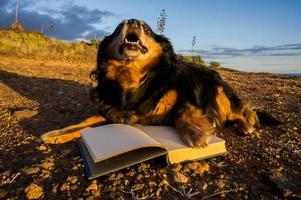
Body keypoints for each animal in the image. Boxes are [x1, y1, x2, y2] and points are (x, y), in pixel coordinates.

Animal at [41, 18, 278, 147]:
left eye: (146, 28)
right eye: (118, 28)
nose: (133, 21)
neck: (133, 77)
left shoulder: (187, 98)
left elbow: (183, 114)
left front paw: (196, 133)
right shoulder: (112, 109)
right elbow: (87, 121)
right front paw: (57, 133)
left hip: (217, 89)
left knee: (241, 113)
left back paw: (245, 126)